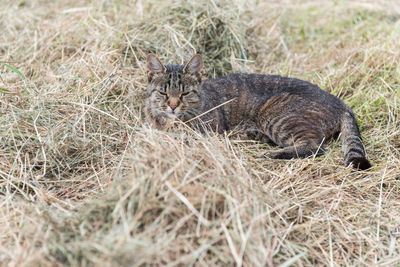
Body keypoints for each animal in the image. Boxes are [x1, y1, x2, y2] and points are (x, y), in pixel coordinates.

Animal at [145, 54, 372, 171]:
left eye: (184, 93)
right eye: (163, 92)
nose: (173, 106)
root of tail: (341, 103)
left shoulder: (208, 133)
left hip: (275, 114)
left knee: (315, 147)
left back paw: (274, 154)